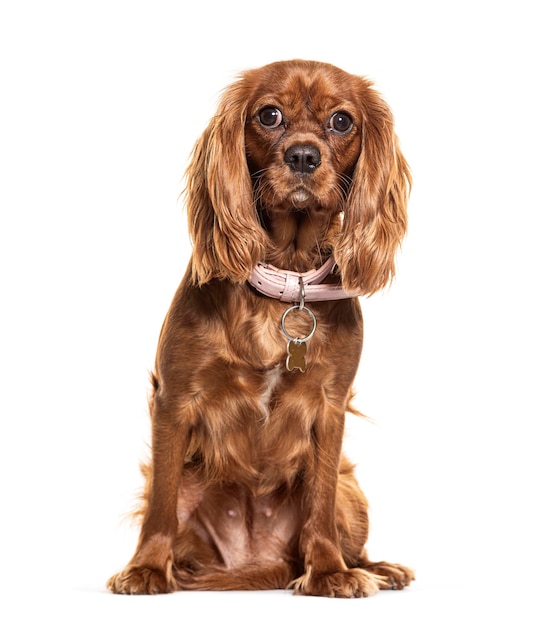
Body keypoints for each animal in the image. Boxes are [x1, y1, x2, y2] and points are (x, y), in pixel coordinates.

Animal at [106, 61, 410, 596]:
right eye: (269, 115)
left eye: (342, 121)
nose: (304, 156)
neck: (285, 281)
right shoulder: (174, 399)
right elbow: (161, 502)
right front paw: (147, 568)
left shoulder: (330, 407)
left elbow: (319, 505)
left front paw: (328, 572)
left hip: (353, 492)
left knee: (344, 527)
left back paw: (375, 568)